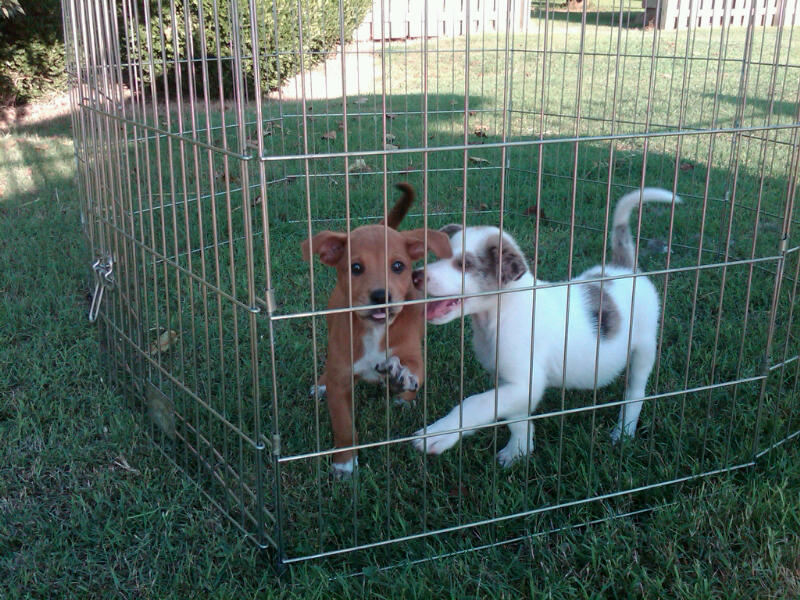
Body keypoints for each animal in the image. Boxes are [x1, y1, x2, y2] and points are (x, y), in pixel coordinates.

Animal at [302, 185, 454, 476]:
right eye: (355, 268)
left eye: (398, 266)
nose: (381, 295)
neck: (375, 330)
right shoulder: (341, 379)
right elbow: (343, 426)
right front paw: (344, 462)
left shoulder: (411, 353)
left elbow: (414, 370)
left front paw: (401, 379)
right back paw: (321, 383)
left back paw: (404, 395)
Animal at [412, 190, 680, 466]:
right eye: (438, 256)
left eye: (464, 264)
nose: (416, 276)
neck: (499, 312)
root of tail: (625, 268)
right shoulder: (511, 382)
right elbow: (516, 419)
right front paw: (518, 450)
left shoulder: (526, 381)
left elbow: (474, 403)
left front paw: (439, 434)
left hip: (644, 349)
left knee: (635, 393)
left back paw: (623, 432)